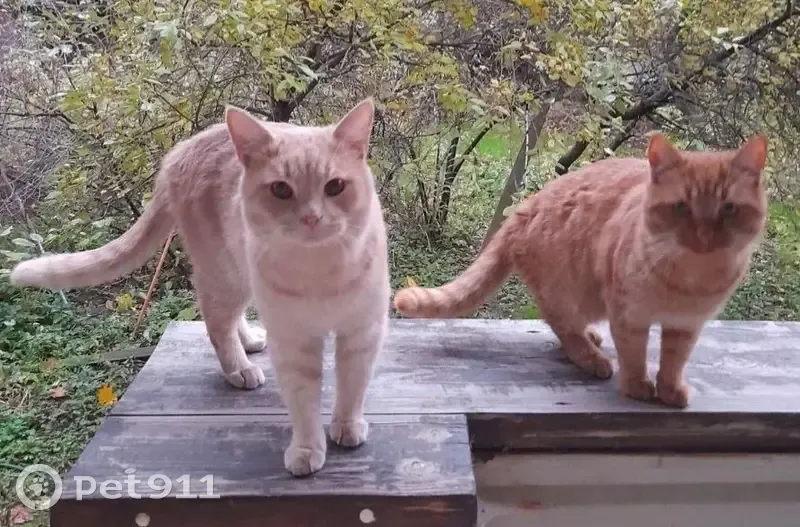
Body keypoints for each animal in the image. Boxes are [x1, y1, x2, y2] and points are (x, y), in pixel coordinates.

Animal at [10, 98, 391, 476]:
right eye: (281, 189)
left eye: (335, 186)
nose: (311, 218)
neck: (319, 268)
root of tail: (182, 148)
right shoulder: (294, 341)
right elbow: (304, 403)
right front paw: (307, 449)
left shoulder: (362, 332)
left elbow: (352, 386)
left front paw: (347, 426)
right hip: (224, 274)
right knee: (217, 323)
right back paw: (239, 368)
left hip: (238, 274)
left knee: (231, 318)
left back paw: (250, 341)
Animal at [393, 133, 768, 408]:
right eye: (681, 207)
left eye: (729, 209)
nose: (703, 237)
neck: (688, 278)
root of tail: (525, 206)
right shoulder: (627, 314)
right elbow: (634, 354)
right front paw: (637, 387)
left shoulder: (686, 325)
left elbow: (674, 360)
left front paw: (669, 390)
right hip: (569, 289)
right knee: (563, 327)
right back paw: (592, 359)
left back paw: (591, 339)